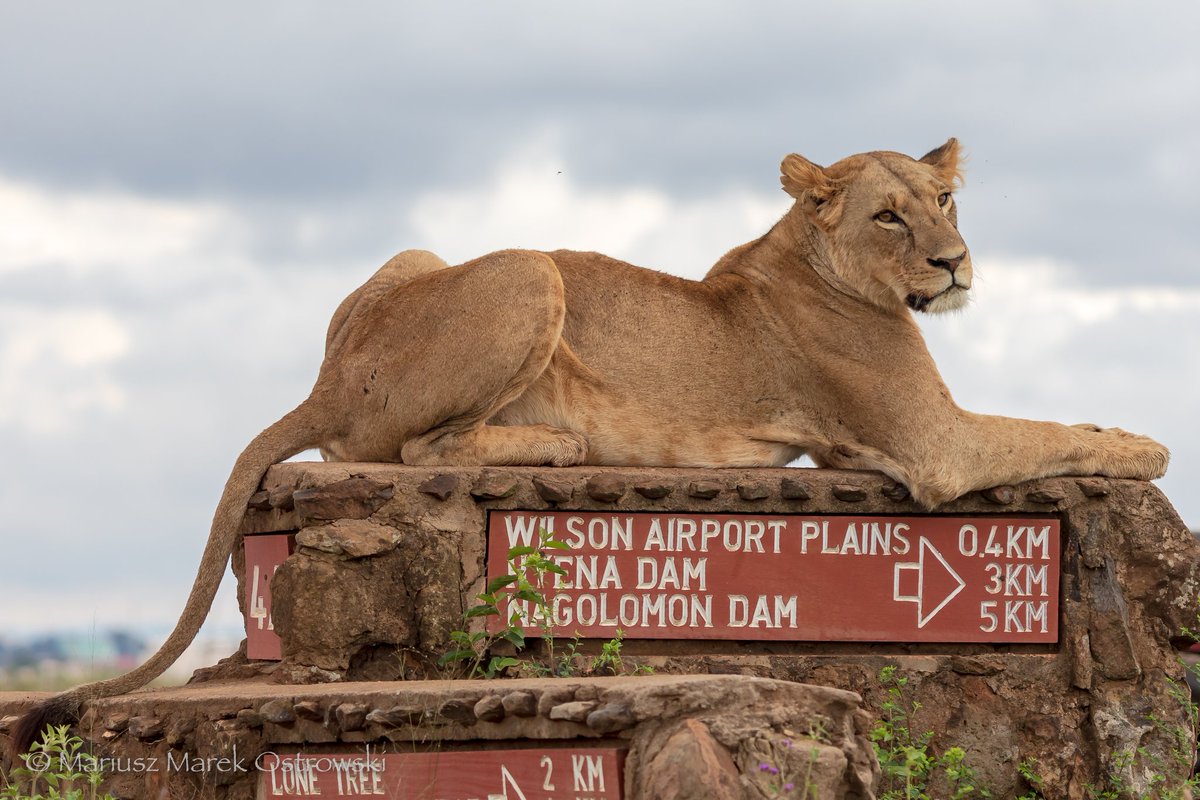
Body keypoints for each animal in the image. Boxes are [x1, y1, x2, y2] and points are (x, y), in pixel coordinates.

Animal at [11, 138, 1168, 753]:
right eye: (892, 217)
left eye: (946, 199)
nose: (955, 261)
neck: (808, 256)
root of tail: (327, 375)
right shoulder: (932, 443)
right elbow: (1053, 430)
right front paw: (1149, 442)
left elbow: (1054, 425)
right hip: (528, 267)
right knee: (410, 448)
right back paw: (557, 446)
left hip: (420, 258)